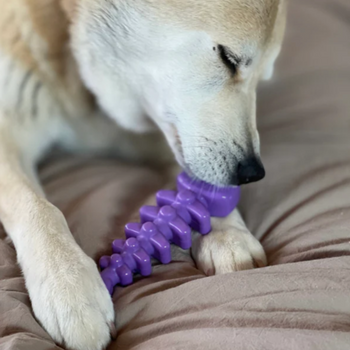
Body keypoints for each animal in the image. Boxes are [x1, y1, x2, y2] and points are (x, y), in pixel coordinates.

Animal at [0, 0, 286, 348]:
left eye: (263, 78)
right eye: (228, 59)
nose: (253, 172)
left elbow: (197, 184)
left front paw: (228, 233)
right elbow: (39, 208)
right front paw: (68, 283)